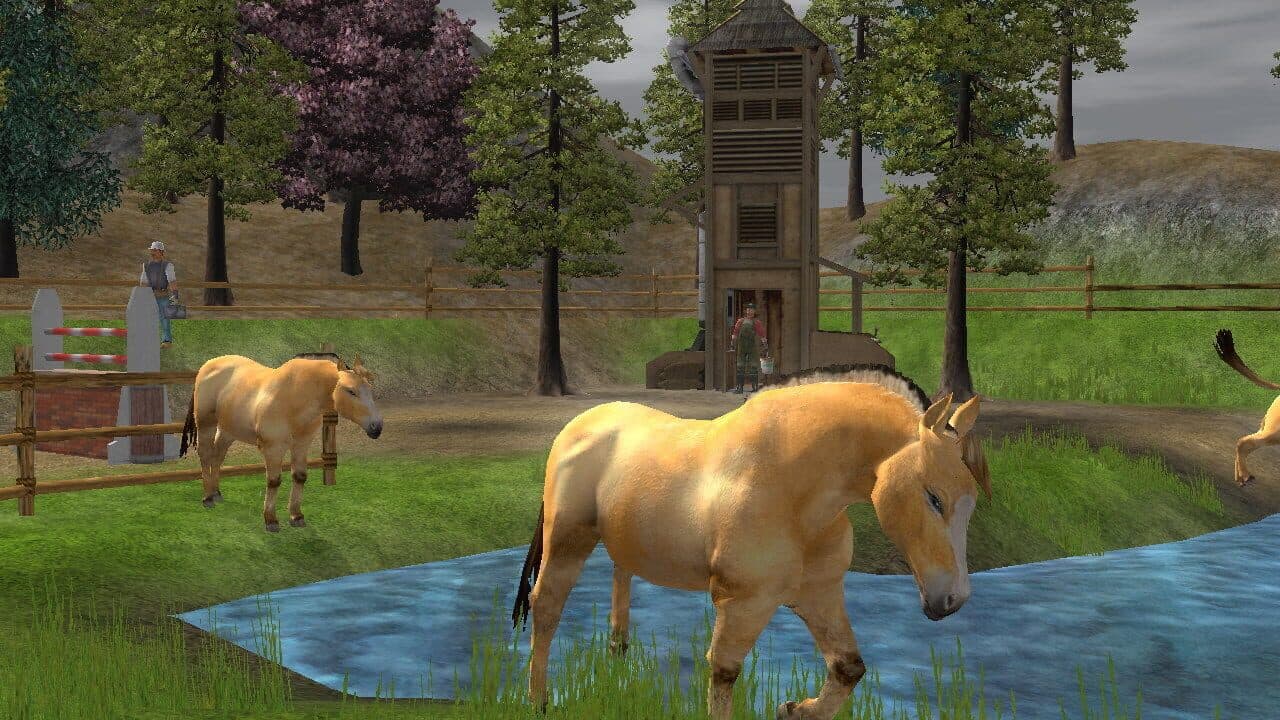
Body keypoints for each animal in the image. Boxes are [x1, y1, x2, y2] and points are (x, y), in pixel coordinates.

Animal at [179, 353, 383, 531]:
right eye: (351, 391)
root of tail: (208, 365)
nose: (377, 427)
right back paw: (207, 498)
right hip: (206, 424)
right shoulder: (273, 448)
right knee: (206, 455)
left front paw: (296, 516)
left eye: (370, 389)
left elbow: (300, 476)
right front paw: (271, 520)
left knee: (218, 456)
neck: (295, 398)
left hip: (228, 430)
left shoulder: (301, 444)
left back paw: (216, 493)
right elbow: (274, 481)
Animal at [510, 364, 991, 720]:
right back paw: (538, 702)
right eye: (934, 498)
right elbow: (724, 672)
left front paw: (794, 709)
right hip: (567, 539)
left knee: (620, 577)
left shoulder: (819, 592)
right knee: (546, 606)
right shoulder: (744, 602)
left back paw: (618, 659)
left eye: (970, 501)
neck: (791, 485)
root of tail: (577, 426)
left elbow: (848, 668)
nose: (952, 601)